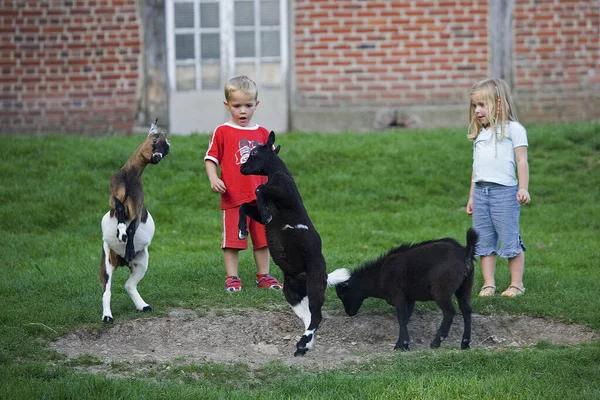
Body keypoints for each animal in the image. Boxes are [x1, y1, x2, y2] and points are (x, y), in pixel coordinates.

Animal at [98, 118, 169, 322]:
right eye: (155, 140)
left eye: (166, 149)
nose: (157, 157)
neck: (130, 177)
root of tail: (122, 262)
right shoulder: (113, 197)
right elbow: (120, 208)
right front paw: (120, 232)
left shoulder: (137, 207)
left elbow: (132, 227)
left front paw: (126, 242)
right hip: (107, 260)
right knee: (106, 290)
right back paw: (107, 316)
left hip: (142, 262)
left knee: (129, 285)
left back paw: (144, 306)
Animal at [238, 130, 350, 356]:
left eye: (254, 152)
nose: (241, 169)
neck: (277, 173)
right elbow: (245, 206)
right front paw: (242, 231)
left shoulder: (285, 193)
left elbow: (259, 189)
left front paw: (264, 214)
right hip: (292, 294)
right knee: (309, 318)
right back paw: (303, 345)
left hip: (315, 284)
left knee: (317, 315)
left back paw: (302, 344)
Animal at [332, 228, 478, 350]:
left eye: (342, 295)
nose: (350, 313)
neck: (379, 275)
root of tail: (465, 254)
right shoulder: (409, 299)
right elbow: (406, 318)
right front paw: (404, 345)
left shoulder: (398, 296)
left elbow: (401, 319)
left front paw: (400, 345)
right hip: (465, 287)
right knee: (466, 310)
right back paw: (465, 343)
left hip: (441, 290)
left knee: (449, 312)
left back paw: (436, 342)